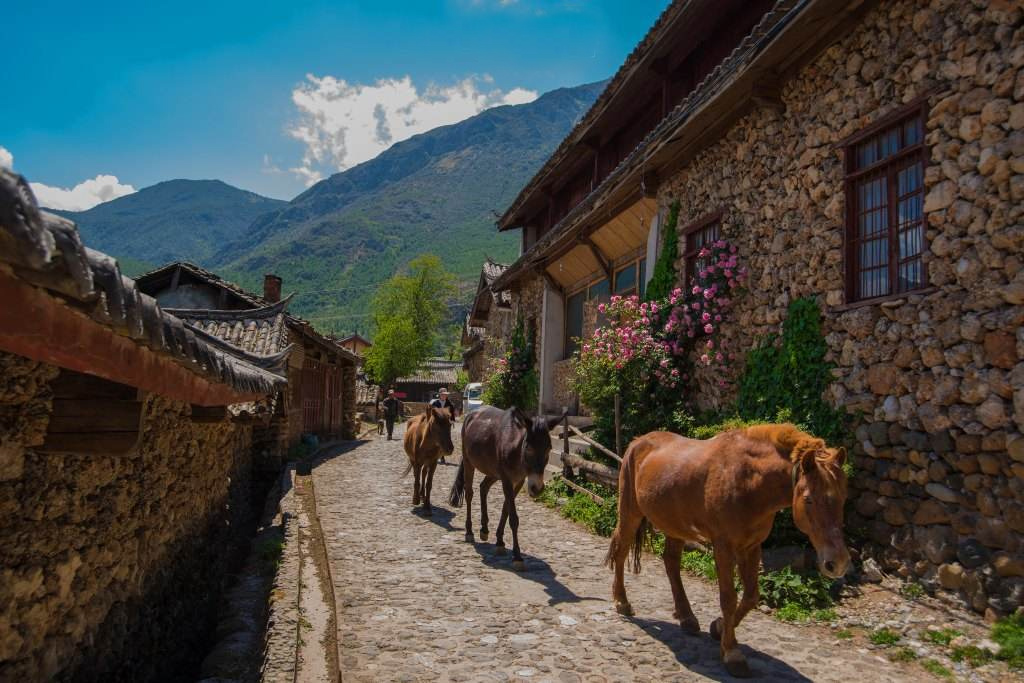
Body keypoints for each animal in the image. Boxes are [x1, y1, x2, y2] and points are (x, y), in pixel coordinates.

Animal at [448, 405, 565, 573]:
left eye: (549, 448)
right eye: (528, 448)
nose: (537, 489)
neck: (516, 448)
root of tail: (474, 412)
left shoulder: (518, 481)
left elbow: (505, 509)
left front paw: (500, 542)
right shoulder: (507, 480)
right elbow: (513, 518)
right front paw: (517, 557)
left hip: (493, 472)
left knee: (483, 487)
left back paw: (484, 530)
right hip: (470, 463)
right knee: (470, 493)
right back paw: (469, 532)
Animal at [602, 423, 851, 675]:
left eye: (843, 498)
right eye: (809, 499)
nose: (837, 562)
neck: (749, 482)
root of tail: (638, 441)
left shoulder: (751, 547)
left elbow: (750, 596)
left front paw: (719, 628)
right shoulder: (723, 546)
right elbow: (729, 598)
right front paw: (732, 653)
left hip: (675, 525)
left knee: (671, 563)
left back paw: (687, 617)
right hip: (630, 512)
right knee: (621, 551)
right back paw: (623, 602)